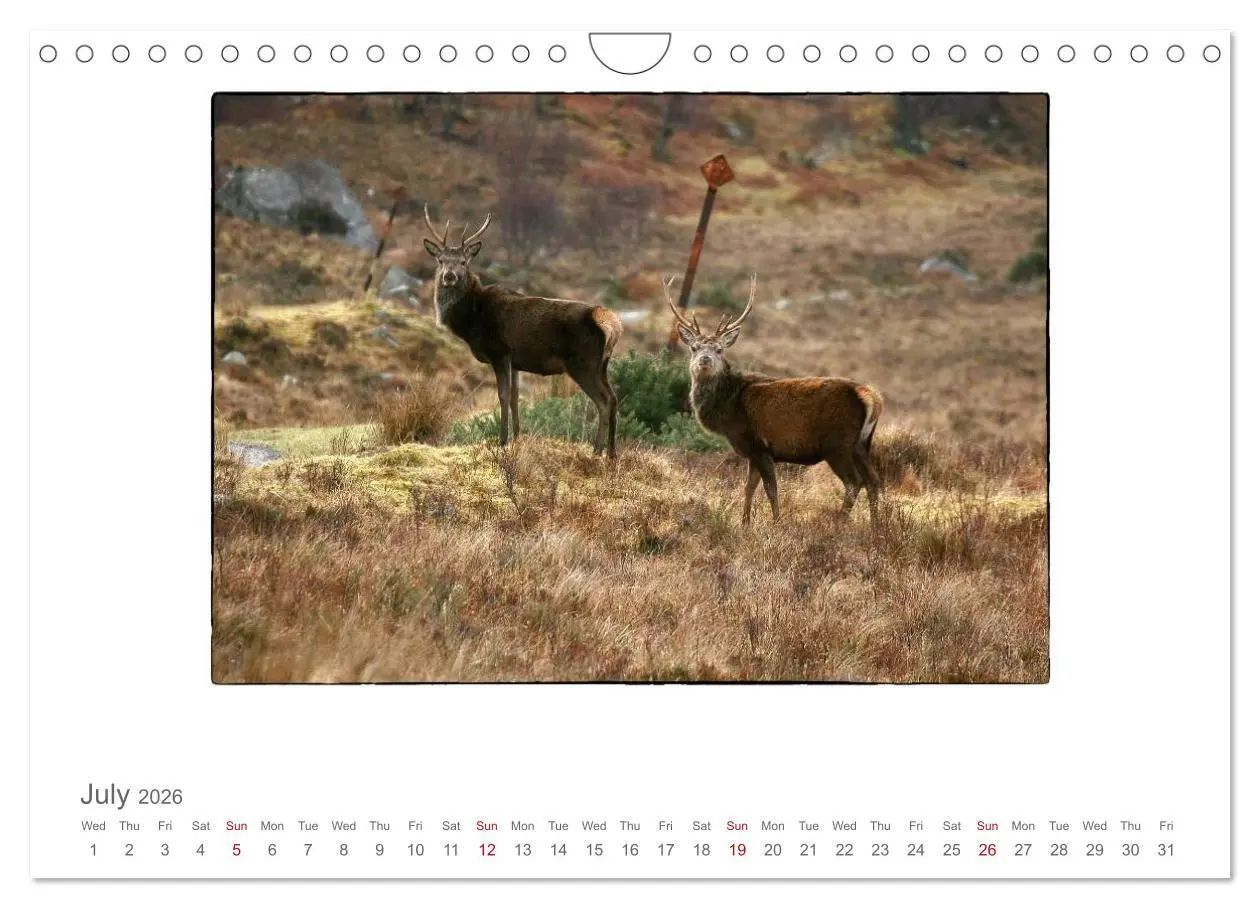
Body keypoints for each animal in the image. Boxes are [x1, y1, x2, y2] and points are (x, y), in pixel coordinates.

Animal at [420, 205, 623, 456]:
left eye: (464, 262)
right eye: (440, 260)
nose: (449, 276)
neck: (470, 320)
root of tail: (609, 322)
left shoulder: (499, 352)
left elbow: (503, 396)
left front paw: (502, 441)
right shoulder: (515, 361)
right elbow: (516, 398)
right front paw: (517, 437)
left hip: (582, 364)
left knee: (603, 401)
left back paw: (597, 451)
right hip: (601, 365)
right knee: (614, 398)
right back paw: (612, 453)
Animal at [663, 273, 884, 524]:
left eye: (719, 349)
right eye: (694, 347)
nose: (705, 359)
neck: (727, 410)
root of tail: (870, 396)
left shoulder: (759, 446)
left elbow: (771, 489)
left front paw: (776, 522)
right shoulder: (753, 452)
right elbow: (748, 488)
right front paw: (744, 522)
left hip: (838, 444)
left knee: (854, 482)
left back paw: (839, 522)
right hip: (862, 444)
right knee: (873, 480)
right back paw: (876, 525)